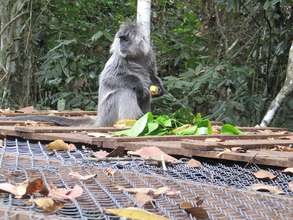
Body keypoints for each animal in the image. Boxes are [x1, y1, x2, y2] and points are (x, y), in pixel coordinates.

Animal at [0, 21, 164, 127]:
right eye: (121, 40)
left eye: (126, 40)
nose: (122, 45)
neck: (135, 57)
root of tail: (100, 119)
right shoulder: (119, 56)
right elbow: (108, 78)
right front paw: (139, 84)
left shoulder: (149, 53)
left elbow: (151, 74)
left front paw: (159, 88)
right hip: (108, 113)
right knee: (126, 91)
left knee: (144, 95)